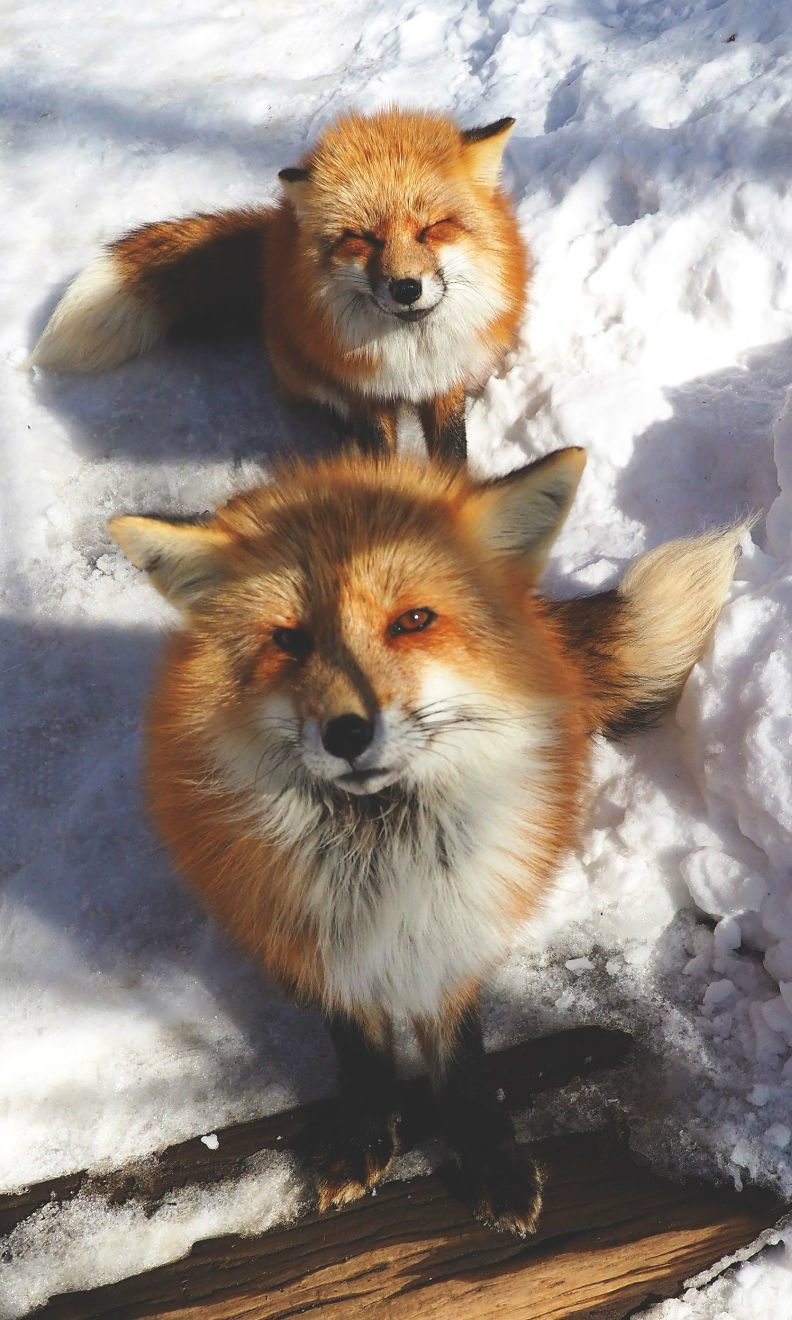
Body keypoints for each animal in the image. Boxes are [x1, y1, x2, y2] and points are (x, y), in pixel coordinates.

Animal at [31, 106, 528, 464]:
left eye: (433, 228)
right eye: (363, 238)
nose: (406, 288)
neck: (412, 356)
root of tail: (274, 234)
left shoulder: (444, 382)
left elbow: (453, 455)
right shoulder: (364, 393)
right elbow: (378, 451)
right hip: (295, 363)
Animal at [106, 448, 744, 1230]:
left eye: (413, 621)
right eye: (289, 640)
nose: (348, 733)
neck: (382, 849)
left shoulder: (452, 921)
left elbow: (462, 1061)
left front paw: (488, 1155)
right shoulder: (320, 932)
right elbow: (361, 1049)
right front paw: (365, 1132)